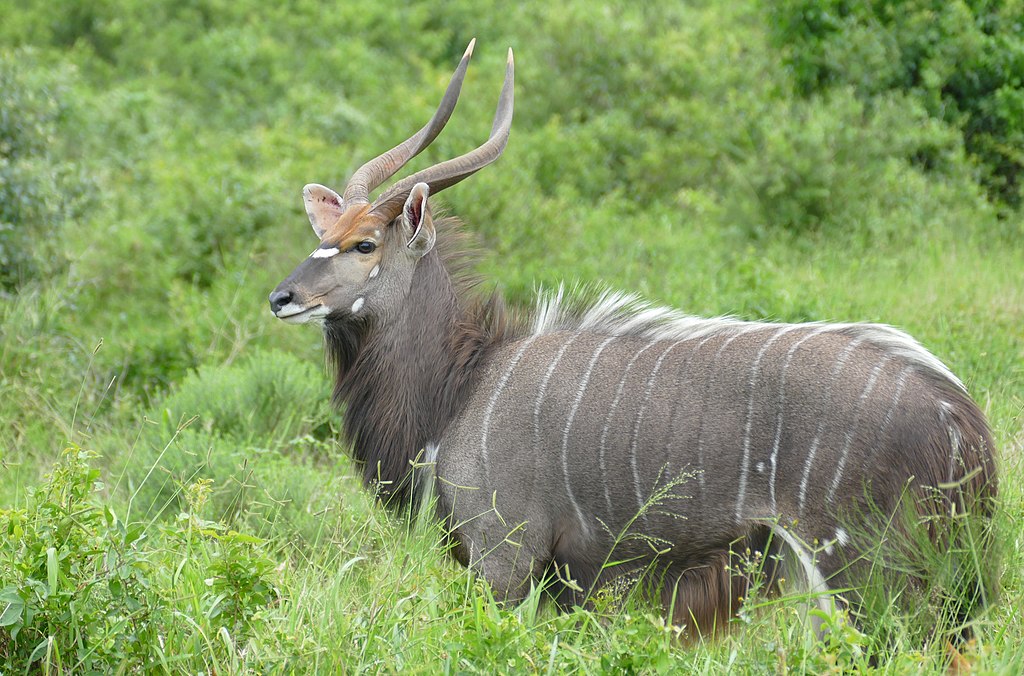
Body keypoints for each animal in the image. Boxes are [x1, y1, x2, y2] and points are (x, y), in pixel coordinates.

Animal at [268, 42, 995, 639]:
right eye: (324, 234)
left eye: (364, 244)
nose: (283, 298)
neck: (463, 383)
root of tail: (958, 416)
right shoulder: (572, 582)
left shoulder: (505, 557)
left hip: (864, 571)